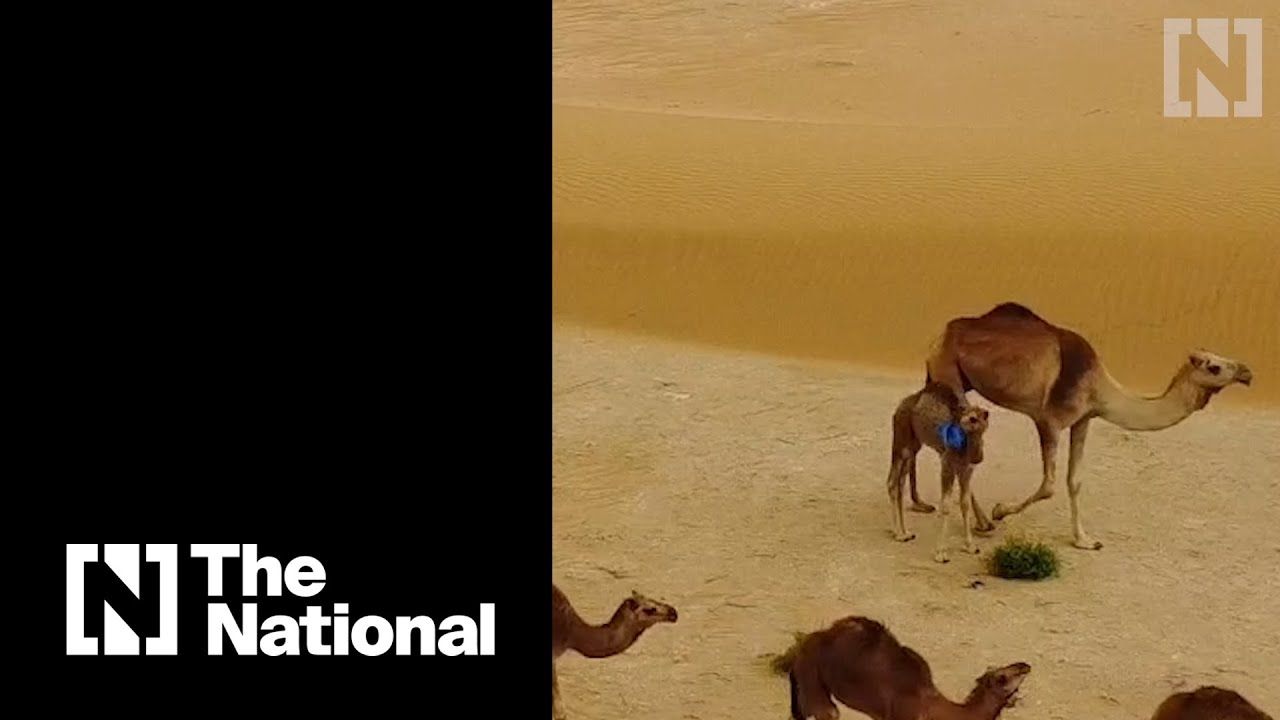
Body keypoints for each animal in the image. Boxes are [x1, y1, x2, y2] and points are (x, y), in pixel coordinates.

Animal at [885, 381, 991, 563]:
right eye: (970, 417)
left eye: (976, 418)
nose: (979, 458)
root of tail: (902, 404)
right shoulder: (947, 465)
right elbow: (946, 506)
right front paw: (941, 553)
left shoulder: (966, 470)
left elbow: (965, 504)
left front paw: (971, 546)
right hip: (901, 439)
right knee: (892, 482)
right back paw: (898, 533)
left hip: (914, 445)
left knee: (900, 483)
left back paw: (905, 533)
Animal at [925, 302, 1253, 550]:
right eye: (1215, 367)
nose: (1247, 373)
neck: (1099, 387)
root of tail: (941, 333)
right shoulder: (1050, 421)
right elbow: (1048, 485)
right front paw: (1001, 511)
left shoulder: (1083, 420)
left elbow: (1075, 481)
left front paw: (1084, 540)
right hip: (948, 373)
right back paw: (984, 520)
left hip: (951, 379)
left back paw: (980, 522)